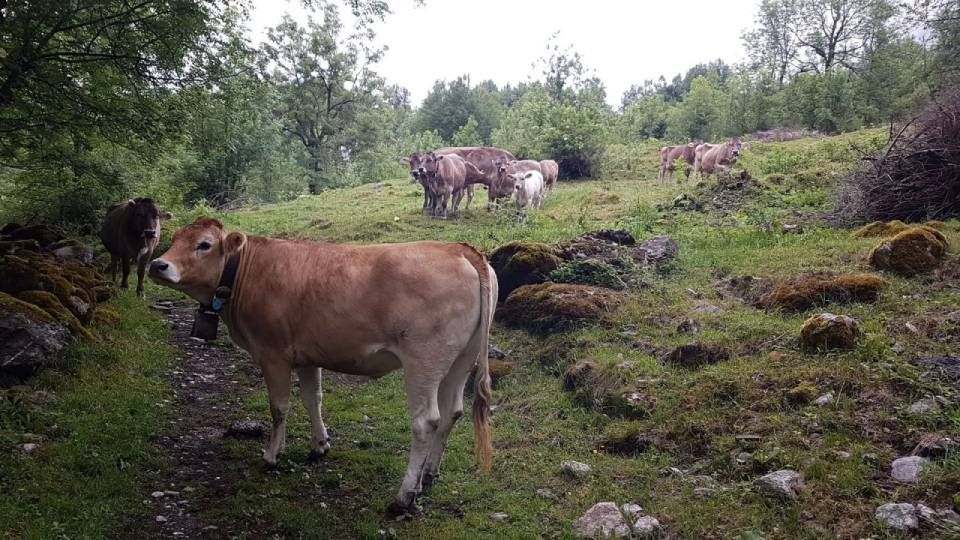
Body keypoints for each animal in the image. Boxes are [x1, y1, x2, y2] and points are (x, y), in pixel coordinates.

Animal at [147, 217, 497, 517]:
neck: (246, 271)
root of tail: (458, 248)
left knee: (426, 422)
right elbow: (312, 399)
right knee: (452, 412)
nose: (157, 264)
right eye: (174, 238)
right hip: (460, 360)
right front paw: (319, 446)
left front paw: (271, 456)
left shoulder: (272, 353)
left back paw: (404, 496)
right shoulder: (306, 355)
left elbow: (279, 407)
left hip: (423, 360)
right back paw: (430, 473)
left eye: (204, 244)